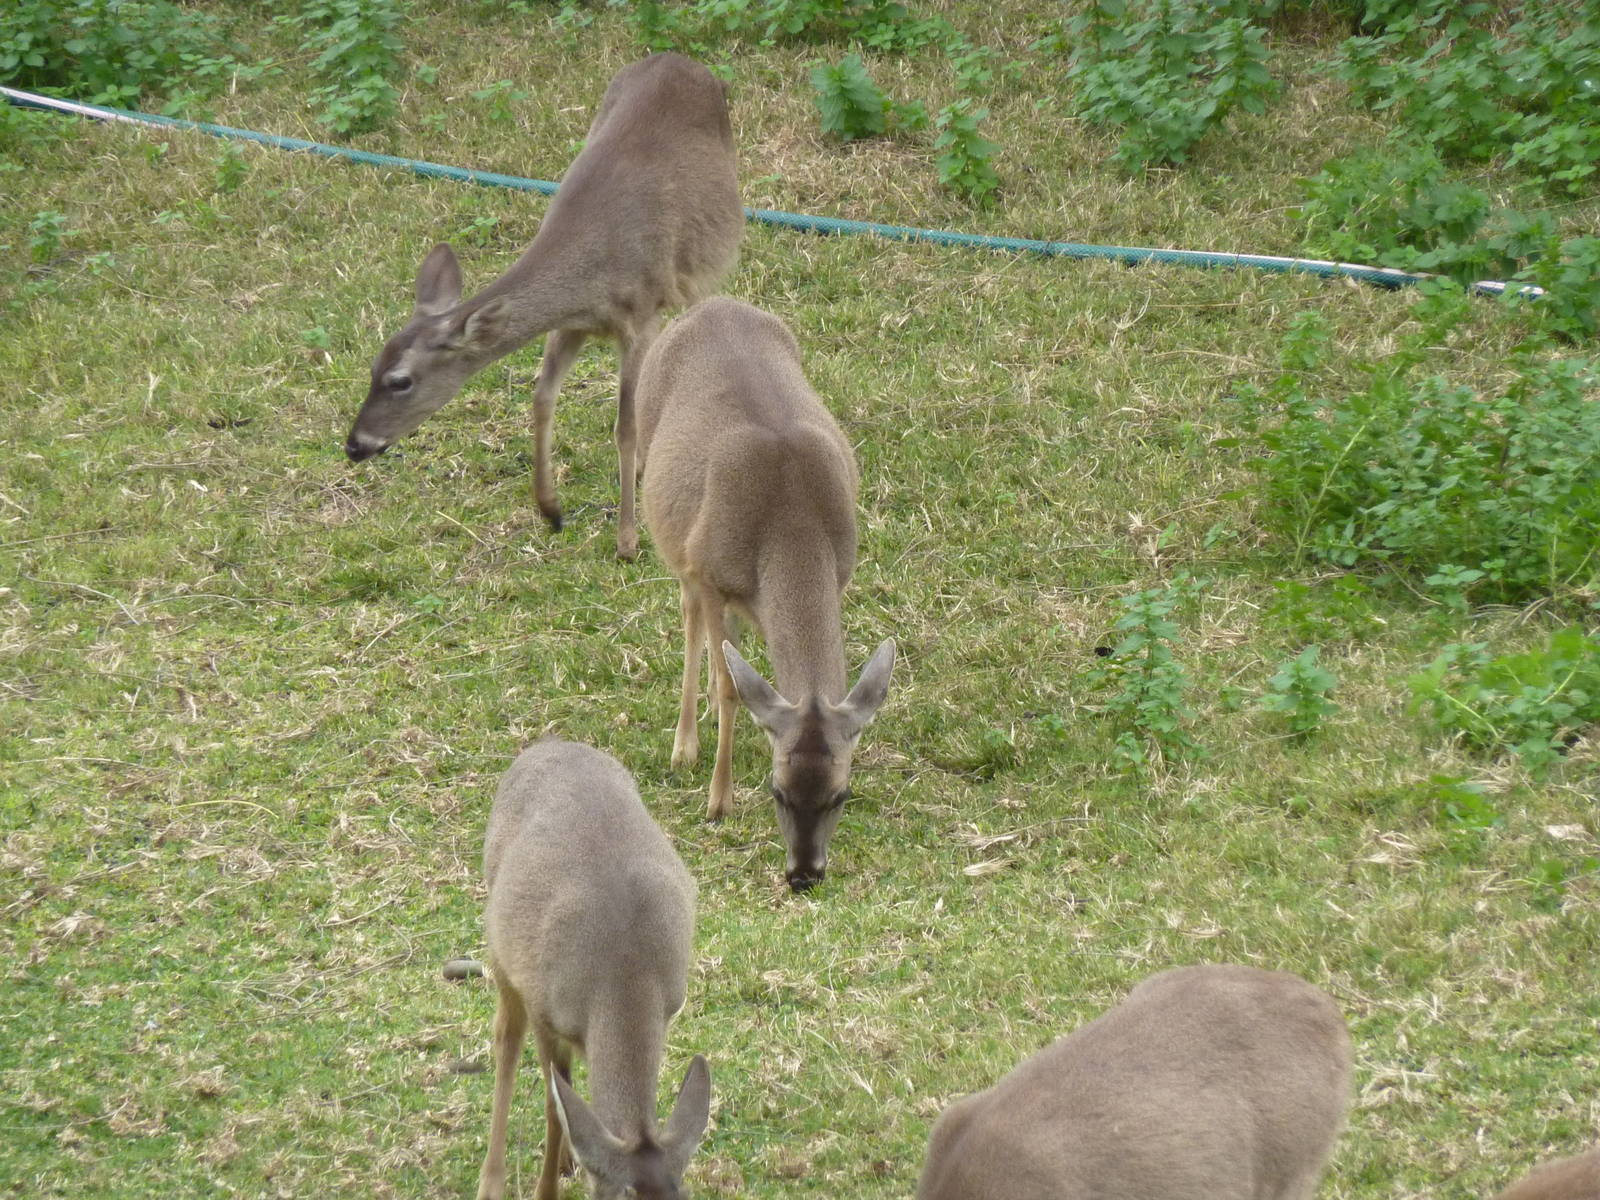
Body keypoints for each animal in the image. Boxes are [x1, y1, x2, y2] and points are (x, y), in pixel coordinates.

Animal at [344, 52, 743, 561]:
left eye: (400, 381)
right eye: (372, 368)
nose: (355, 445)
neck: (590, 272)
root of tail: (680, 59)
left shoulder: (639, 317)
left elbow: (624, 426)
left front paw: (628, 539)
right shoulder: (572, 323)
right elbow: (541, 397)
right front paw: (551, 509)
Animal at [476, 739, 711, 1200]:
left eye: (684, 1194)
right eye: (625, 1195)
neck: (625, 974)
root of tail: (549, 743)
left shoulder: (669, 1008)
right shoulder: (544, 1007)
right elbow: (555, 1105)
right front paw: (546, 1190)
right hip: (501, 942)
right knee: (506, 1038)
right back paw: (491, 1181)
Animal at [635, 297, 895, 893]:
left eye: (841, 794)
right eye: (777, 792)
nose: (804, 874)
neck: (791, 522)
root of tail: (709, 304)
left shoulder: (840, 571)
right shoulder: (707, 570)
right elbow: (735, 687)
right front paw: (718, 800)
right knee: (689, 616)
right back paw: (685, 743)